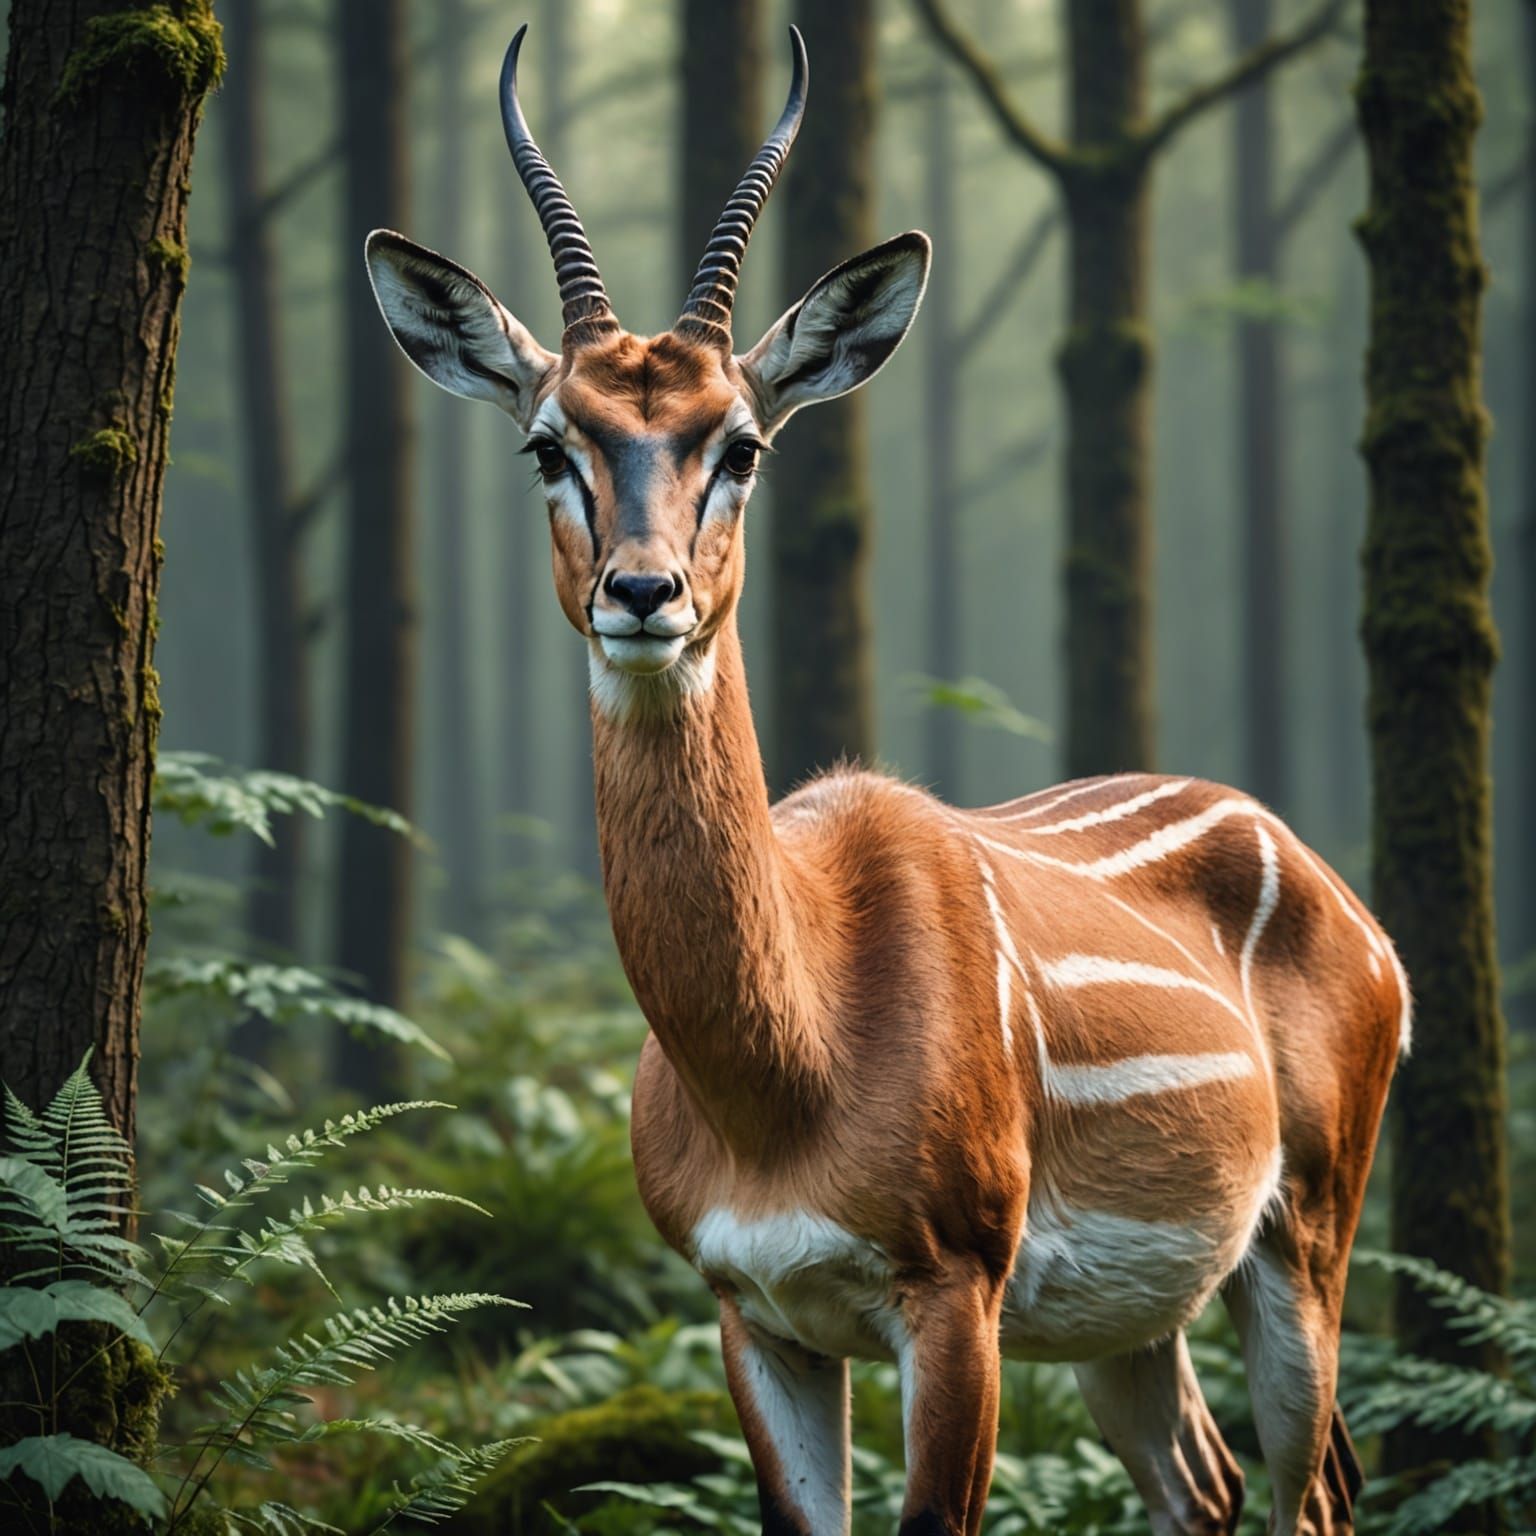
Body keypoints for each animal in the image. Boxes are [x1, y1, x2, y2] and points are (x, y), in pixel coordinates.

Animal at [365, 25, 1405, 1536]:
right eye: (547, 441)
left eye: (741, 442)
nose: (643, 592)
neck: (785, 1088)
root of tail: (1373, 929)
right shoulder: (746, 1299)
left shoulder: (958, 1268)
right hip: (1128, 1312)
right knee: (1204, 1482)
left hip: (1313, 1209)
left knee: (1310, 1484)